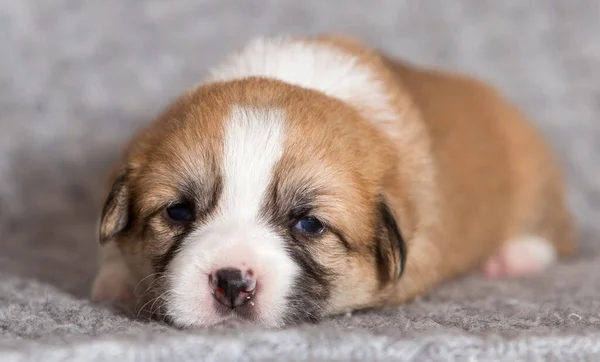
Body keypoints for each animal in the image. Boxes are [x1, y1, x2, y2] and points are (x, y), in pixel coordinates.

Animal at [92, 34, 576, 328]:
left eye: (309, 224)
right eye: (178, 211)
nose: (231, 282)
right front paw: (116, 281)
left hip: (534, 181)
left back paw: (516, 255)